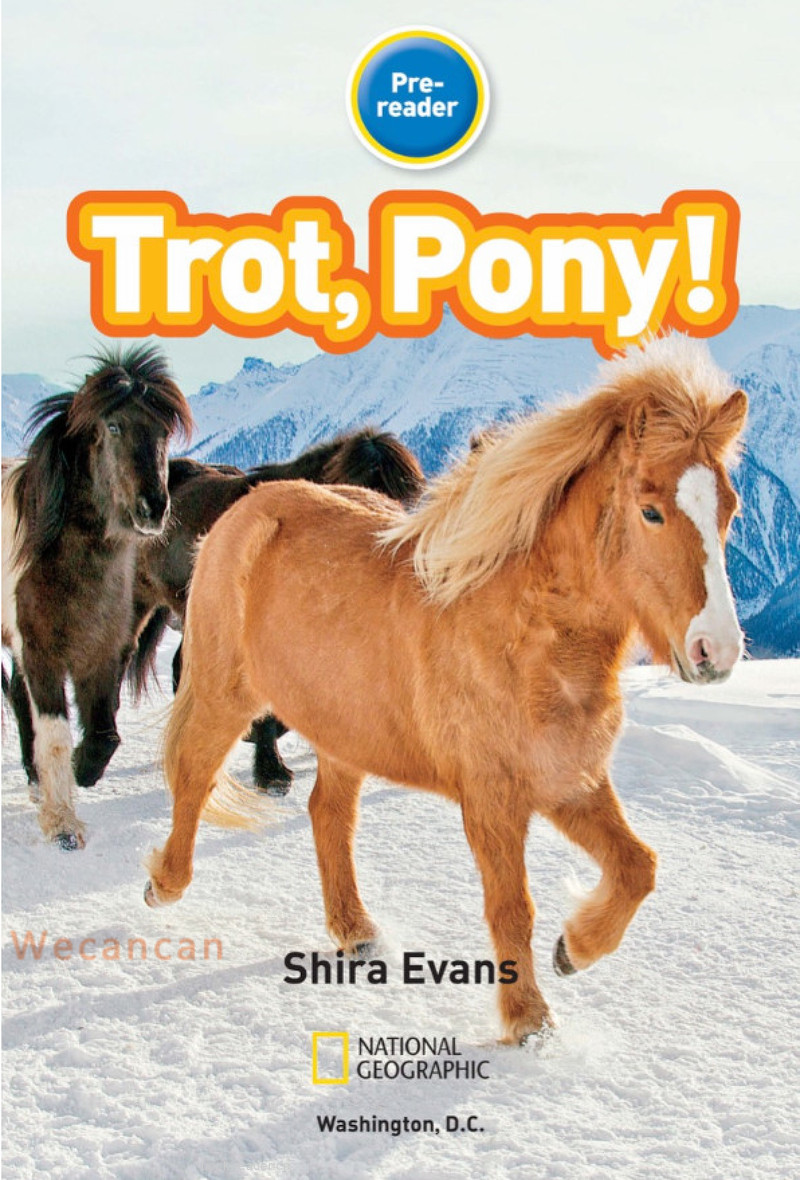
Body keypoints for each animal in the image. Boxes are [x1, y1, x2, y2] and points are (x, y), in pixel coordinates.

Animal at [2, 345, 193, 849]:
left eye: (164, 430)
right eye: (113, 426)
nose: (153, 508)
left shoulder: (104, 650)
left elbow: (105, 734)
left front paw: (80, 771)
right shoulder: (41, 653)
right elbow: (53, 734)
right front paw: (62, 824)